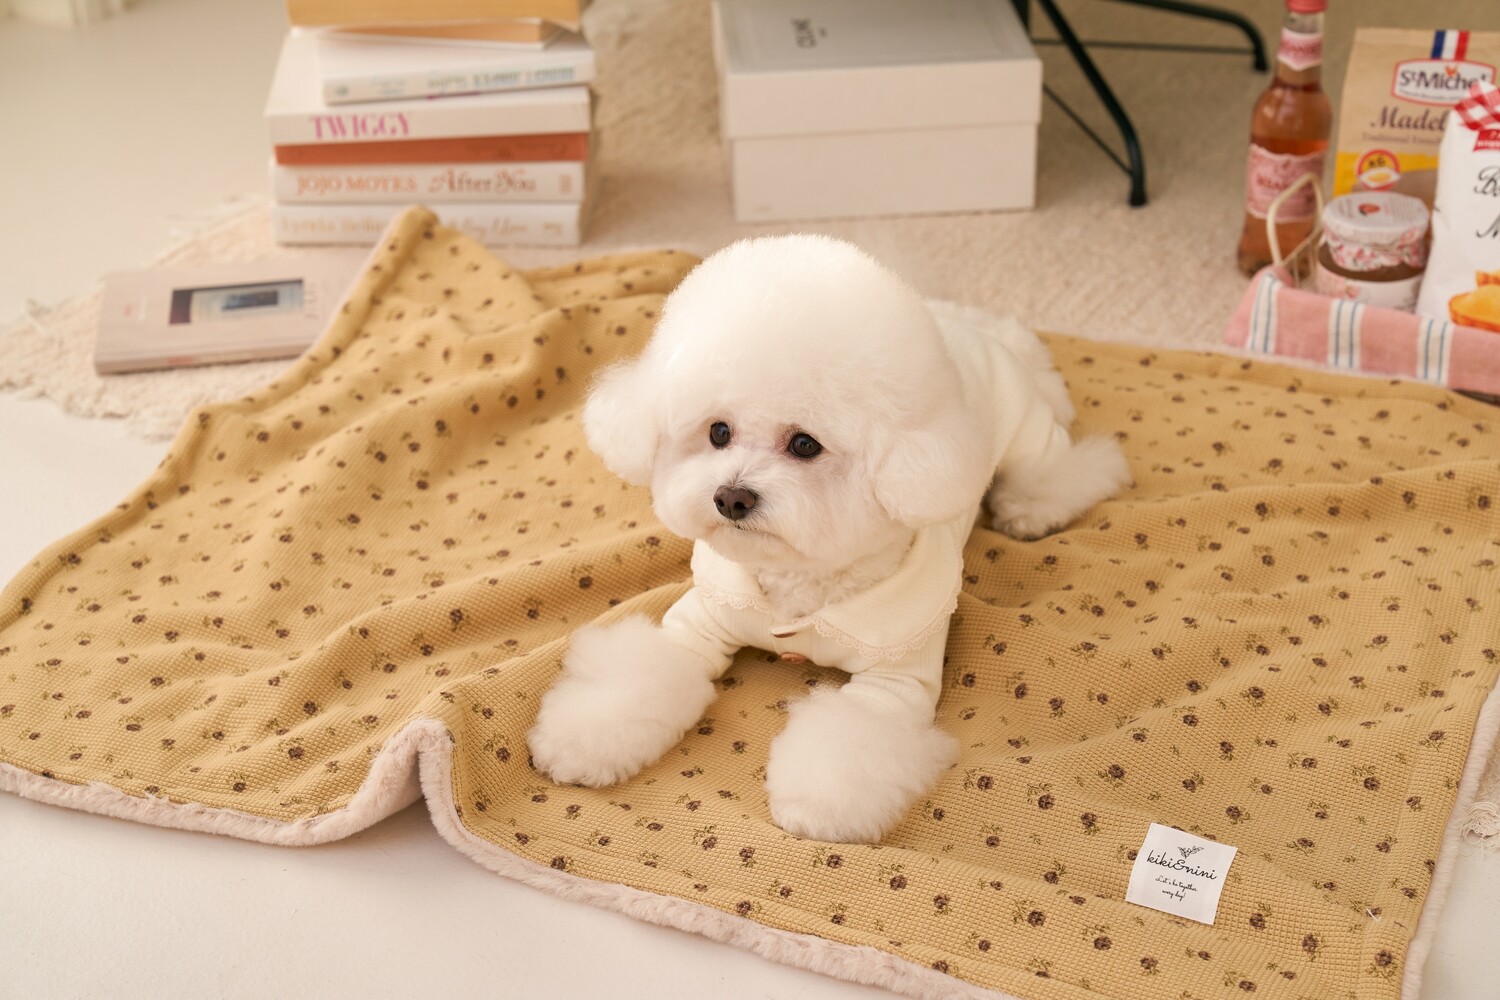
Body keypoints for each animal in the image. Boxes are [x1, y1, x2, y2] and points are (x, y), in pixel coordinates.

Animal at [527, 235, 1131, 843]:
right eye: (718, 431)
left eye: (804, 444)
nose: (731, 498)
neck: (802, 581)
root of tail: (980, 331)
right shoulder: (698, 624)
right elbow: (643, 673)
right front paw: (581, 739)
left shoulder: (894, 679)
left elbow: (851, 740)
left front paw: (818, 804)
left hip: (1029, 433)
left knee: (1065, 467)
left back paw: (1032, 510)